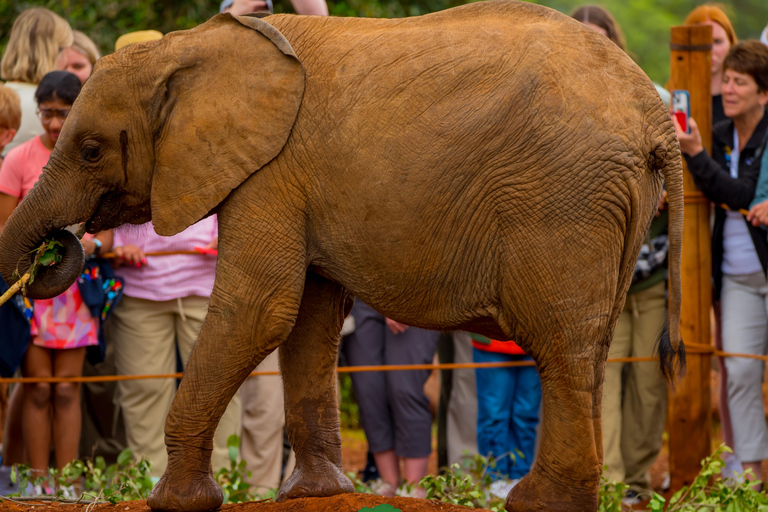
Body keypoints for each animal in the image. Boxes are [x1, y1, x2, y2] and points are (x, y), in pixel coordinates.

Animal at [0, 1, 684, 512]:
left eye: (90, 149)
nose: (60, 249)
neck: (189, 49)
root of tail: (658, 118)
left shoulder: (270, 173)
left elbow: (259, 309)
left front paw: (175, 502)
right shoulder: (294, 180)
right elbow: (307, 318)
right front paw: (316, 493)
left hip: (563, 197)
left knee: (560, 345)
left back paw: (537, 503)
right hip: (608, 204)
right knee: (590, 346)